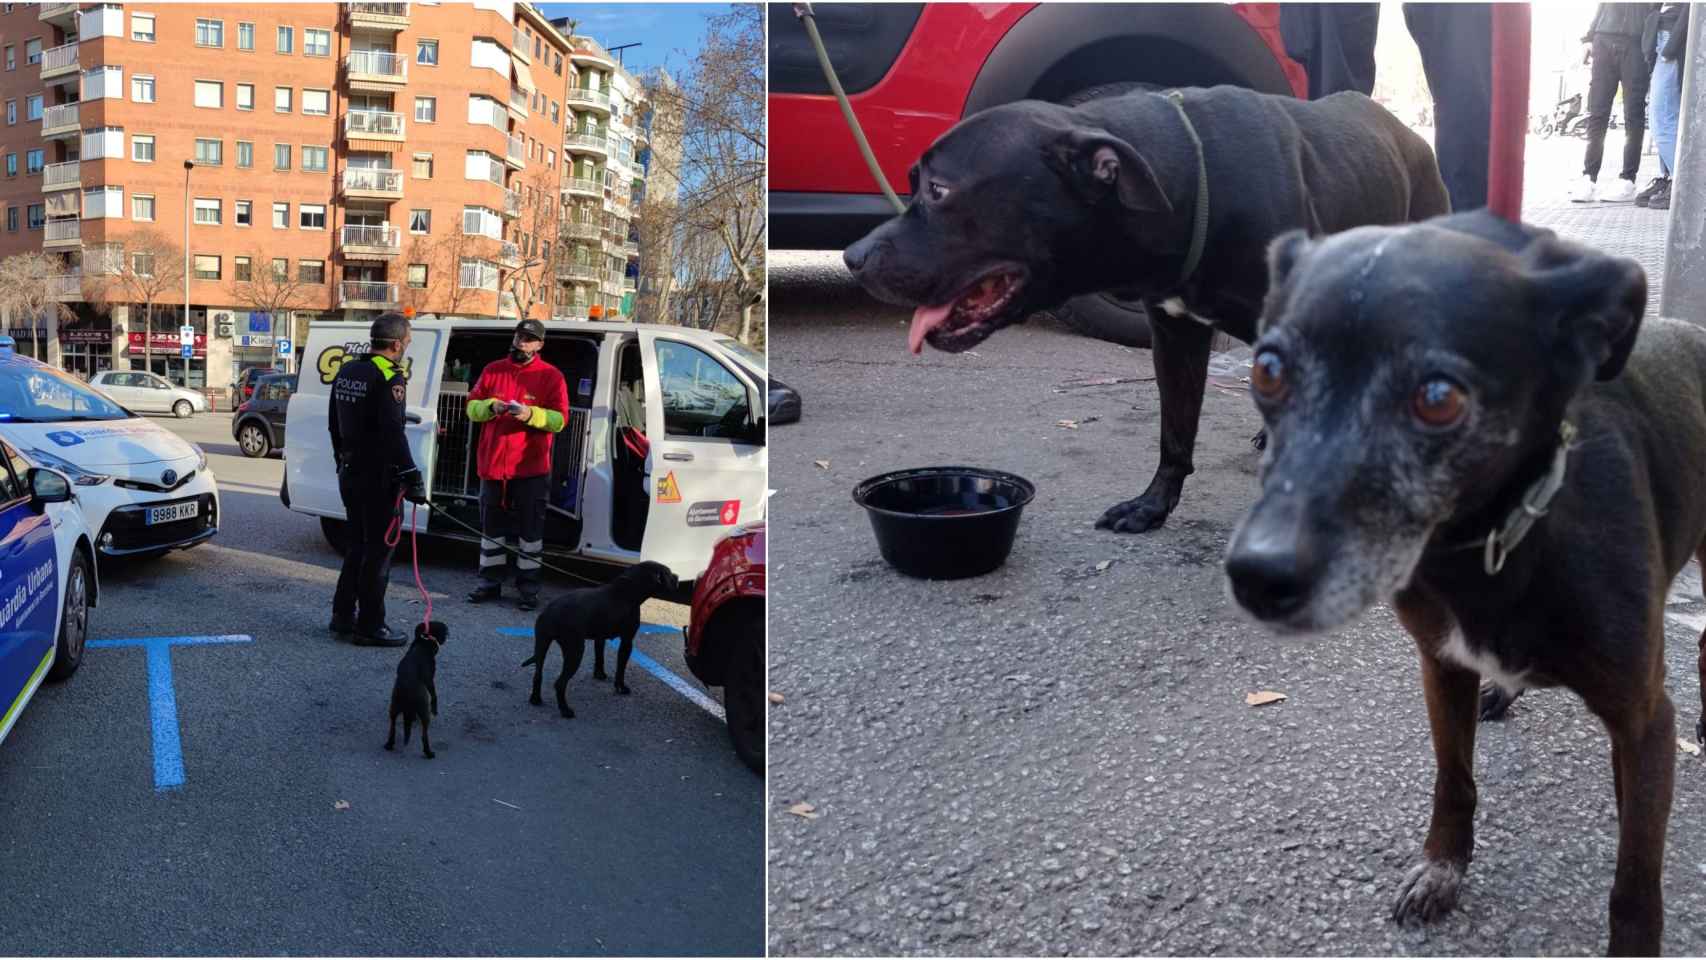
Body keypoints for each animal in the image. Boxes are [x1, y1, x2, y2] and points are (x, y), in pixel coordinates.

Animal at [382, 624, 443, 760]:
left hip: (394, 707)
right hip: (424, 711)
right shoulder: (429, 677)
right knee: (424, 735)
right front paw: (435, 709)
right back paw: (429, 753)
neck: (422, 644)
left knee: (392, 727)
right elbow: (434, 694)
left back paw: (389, 744)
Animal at [518, 559, 678, 716]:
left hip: (542, 647)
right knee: (559, 683)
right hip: (575, 652)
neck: (628, 590)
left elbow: (599, 658)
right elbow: (620, 668)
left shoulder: (600, 638)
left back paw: (535, 699)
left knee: (538, 675)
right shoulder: (627, 641)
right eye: (669, 574)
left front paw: (599, 675)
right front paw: (620, 687)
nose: (677, 577)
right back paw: (565, 710)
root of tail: (550, 613)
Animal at [846, 87, 1446, 538]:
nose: (853, 256)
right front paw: (1152, 506)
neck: (1192, 186)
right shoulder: (1174, 335)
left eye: (938, 189)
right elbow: (1175, 431)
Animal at [1228, 210, 1706, 954]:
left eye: (1437, 398)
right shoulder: (1440, 666)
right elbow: (1454, 780)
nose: (1256, 575)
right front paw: (1442, 868)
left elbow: (1635, 881)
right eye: (1267, 370)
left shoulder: (1648, 723)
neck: (1495, 546)